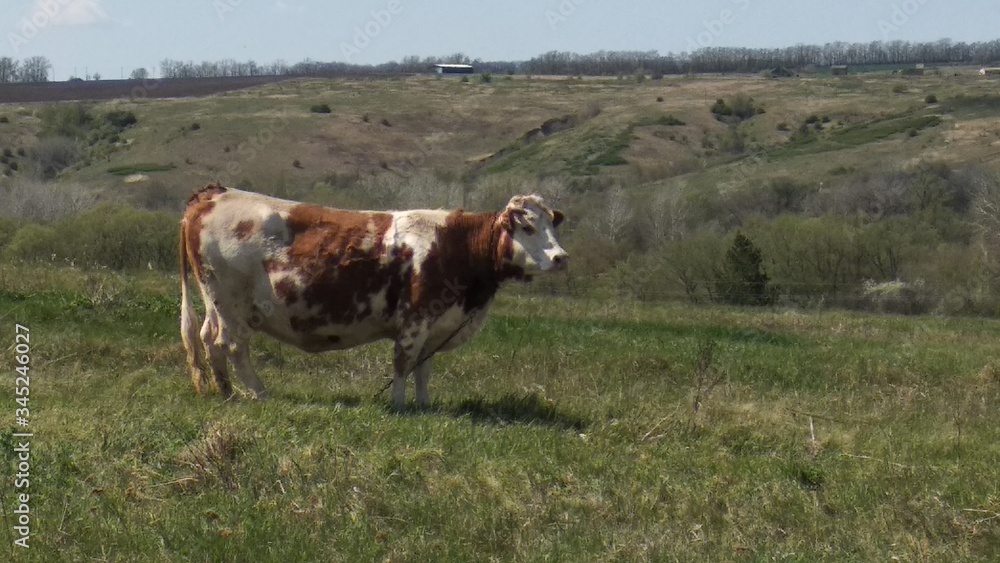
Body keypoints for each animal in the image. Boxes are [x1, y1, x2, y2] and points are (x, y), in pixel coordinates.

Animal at [179, 184, 568, 410]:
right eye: (527, 227)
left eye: (552, 224)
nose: (560, 257)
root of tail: (215, 193)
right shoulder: (415, 320)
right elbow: (403, 364)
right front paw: (398, 407)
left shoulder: (437, 325)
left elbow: (424, 368)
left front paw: (424, 405)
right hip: (233, 306)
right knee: (231, 345)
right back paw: (258, 394)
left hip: (216, 303)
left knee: (209, 339)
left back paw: (226, 392)